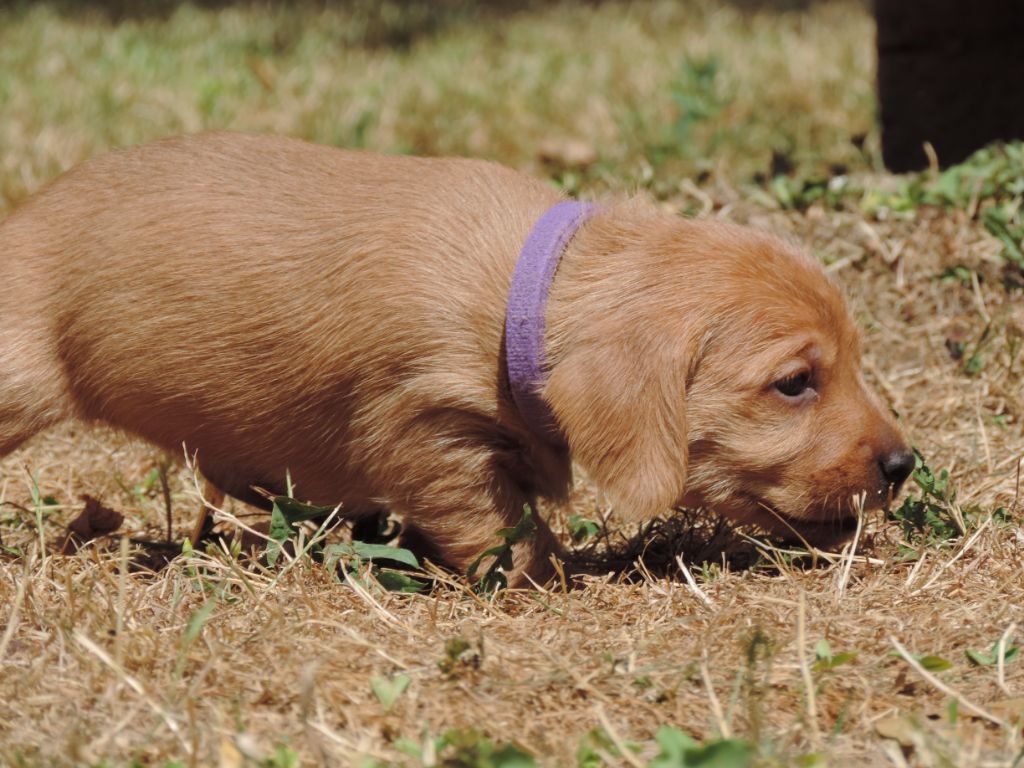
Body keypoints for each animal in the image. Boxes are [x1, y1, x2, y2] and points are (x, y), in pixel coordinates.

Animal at [0, 132, 912, 585]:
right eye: (795, 384)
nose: (905, 464)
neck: (525, 294)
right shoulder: (426, 425)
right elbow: (496, 523)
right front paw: (543, 580)